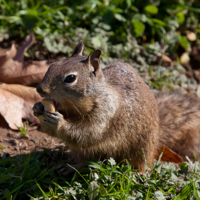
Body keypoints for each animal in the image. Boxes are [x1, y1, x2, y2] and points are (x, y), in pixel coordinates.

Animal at [32, 40, 200, 173]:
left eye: (70, 78)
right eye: (52, 65)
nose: (39, 89)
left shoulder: (108, 113)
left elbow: (87, 133)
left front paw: (58, 121)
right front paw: (38, 108)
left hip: (141, 149)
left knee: (142, 165)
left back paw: (138, 174)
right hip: (79, 151)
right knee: (83, 162)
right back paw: (70, 167)